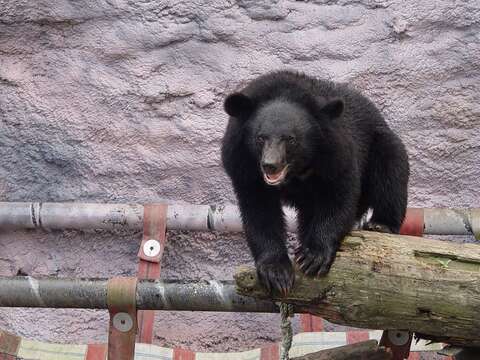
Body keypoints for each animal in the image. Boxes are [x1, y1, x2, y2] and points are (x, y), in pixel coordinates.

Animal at [221, 69, 408, 292]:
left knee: (390, 171)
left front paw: (313, 257)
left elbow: (338, 197)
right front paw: (277, 273)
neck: (297, 170)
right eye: (260, 138)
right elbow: (259, 210)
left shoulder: (336, 151)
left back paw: (381, 224)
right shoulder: (243, 164)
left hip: (379, 143)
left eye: (290, 139)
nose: (270, 165)